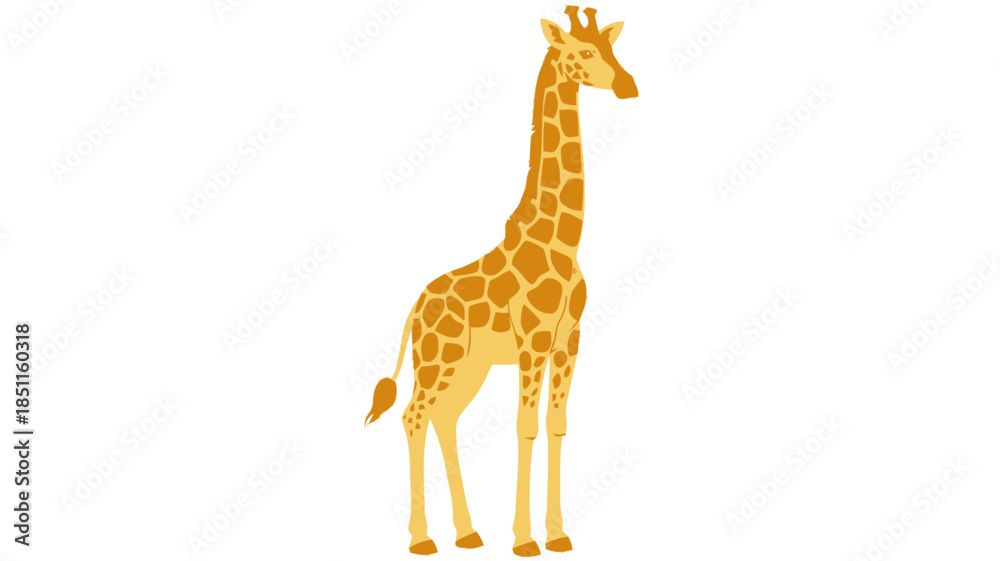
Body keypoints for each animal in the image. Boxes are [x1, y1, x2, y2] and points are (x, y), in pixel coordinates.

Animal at [365, 6, 637, 557]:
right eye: (584, 51)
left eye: (612, 47)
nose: (628, 85)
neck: (563, 241)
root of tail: (416, 307)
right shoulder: (533, 341)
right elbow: (524, 427)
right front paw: (525, 539)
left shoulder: (569, 341)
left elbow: (556, 425)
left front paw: (558, 535)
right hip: (437, 362)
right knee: (413, 416)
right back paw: (423, 539)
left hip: (469, 367)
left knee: (445, 418)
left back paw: (468, 533)